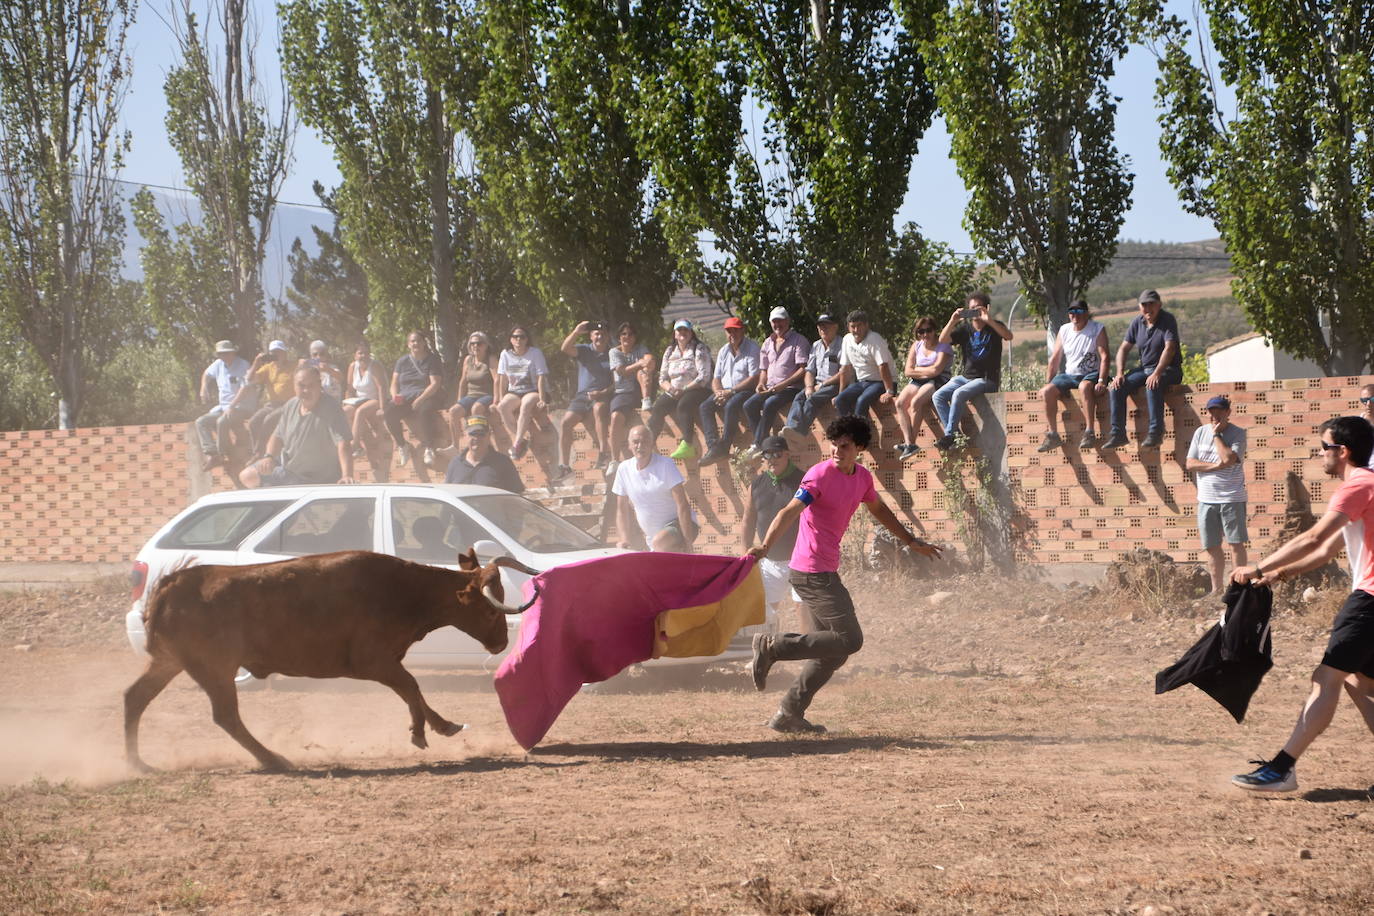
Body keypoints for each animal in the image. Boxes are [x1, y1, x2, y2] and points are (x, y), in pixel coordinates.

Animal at [125, 549, 535, 769]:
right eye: (490, 610)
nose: (500, 642)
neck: (403, 591)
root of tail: (170, 585)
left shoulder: (387, 661)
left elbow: (414, 691)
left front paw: (442, 725)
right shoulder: (374, 662)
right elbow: (411, 686)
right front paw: (421, 731)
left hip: (170, 662)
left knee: (135, 698)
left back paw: (137, 762)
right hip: (214, 669)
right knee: (225, 716)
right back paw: (274, 759)